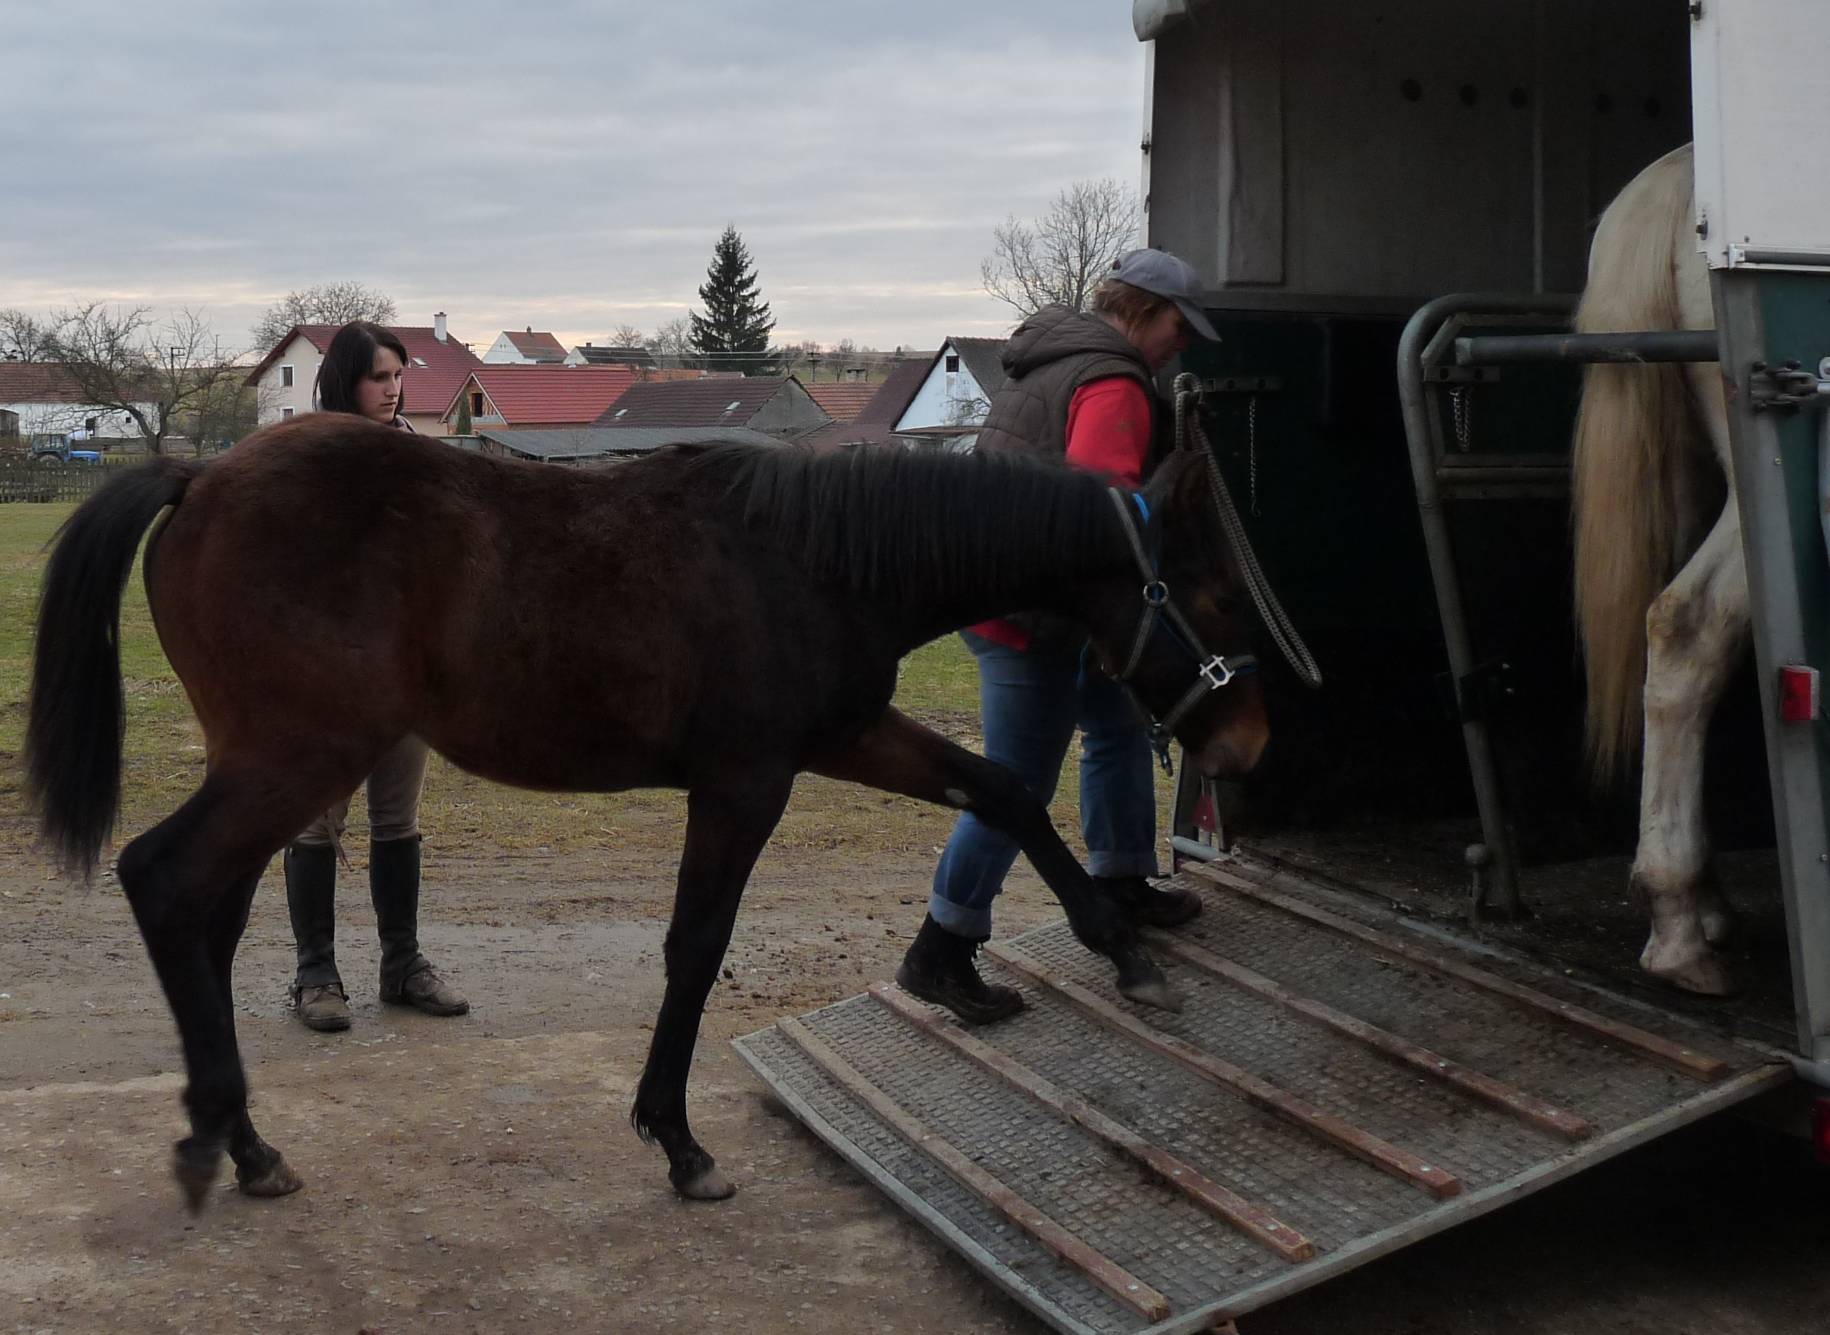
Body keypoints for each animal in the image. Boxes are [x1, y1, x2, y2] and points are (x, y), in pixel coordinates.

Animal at [21, 416, 1266, 1206]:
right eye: (1211, 596)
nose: (1248, 744)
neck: (813, 559)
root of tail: (200, 476)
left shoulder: (847, 738)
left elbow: (1004, 791)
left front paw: (1125, 955)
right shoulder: (746, 781)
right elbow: (694, 948)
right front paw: (678, 1142)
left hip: (276, 765)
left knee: (211, 914)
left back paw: (243, 1145)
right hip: (299, 759)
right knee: (164, 881)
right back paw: (221, 1138)